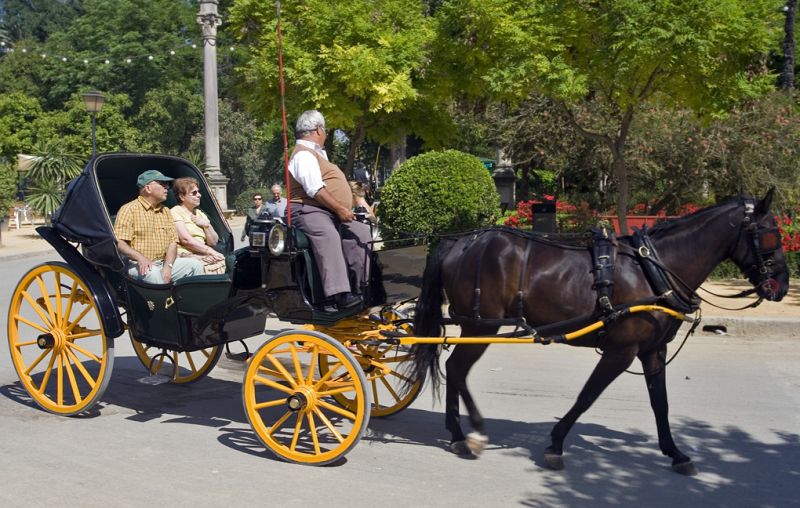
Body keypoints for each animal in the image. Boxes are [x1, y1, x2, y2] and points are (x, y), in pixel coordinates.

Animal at [410, 189, 792, 474]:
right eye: (772, 233)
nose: (783, 285)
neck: (655, 267)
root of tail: (461, 242)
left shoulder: (653, 350)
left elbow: (661, 403)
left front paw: (675, 452)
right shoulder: (621, 351)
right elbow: (587, 396)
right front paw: (556, 443)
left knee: (453, 369)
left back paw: (456, 434)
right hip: (480, 325)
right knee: (457, 369)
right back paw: (471, 434)